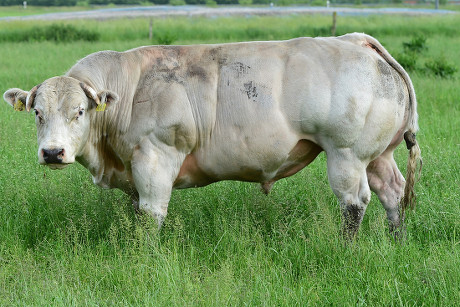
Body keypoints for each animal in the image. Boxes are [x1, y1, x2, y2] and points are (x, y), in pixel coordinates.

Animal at [3, 34, 420, 241]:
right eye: (38, 113)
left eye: (79, 111)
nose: (53, 152)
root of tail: (356, 40)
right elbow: (137, 215)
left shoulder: (156, 158)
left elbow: (151, 216)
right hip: (378, 156)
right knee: (393, 194)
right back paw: (396, 241)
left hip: (346, 153)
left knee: (354, 203)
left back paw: (346, 248)